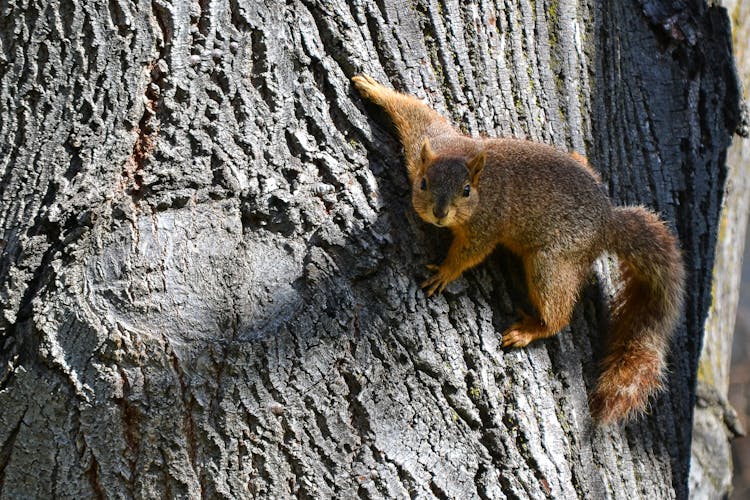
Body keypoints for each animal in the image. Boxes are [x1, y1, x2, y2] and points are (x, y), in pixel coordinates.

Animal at [352, 74, 688, 424]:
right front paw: (373, 88)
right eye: (423, 184)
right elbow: (415, 112)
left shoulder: (486, 224)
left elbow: (471, 252)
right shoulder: (430, 141)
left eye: (466, 191)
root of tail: (607, 223)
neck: (482, 181)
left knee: (558, 312)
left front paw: (445, 271)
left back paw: (531, 330)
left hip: (551, 262)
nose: (439, 213)